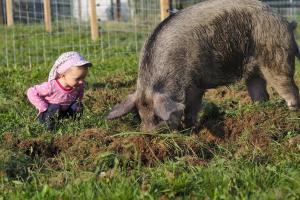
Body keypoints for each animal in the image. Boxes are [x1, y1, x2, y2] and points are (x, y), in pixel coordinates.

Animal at [106, 0, 298, 132]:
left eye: (158, 117)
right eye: (140, 115)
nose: (148, 135)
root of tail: (286, 22)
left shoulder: (195, 86)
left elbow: (191, 110)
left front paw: (190, 130)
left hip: (277, 58)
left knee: (290, 88)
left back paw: (292, 111)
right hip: (254, 71)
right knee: (260, 93)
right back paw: (257, 112)